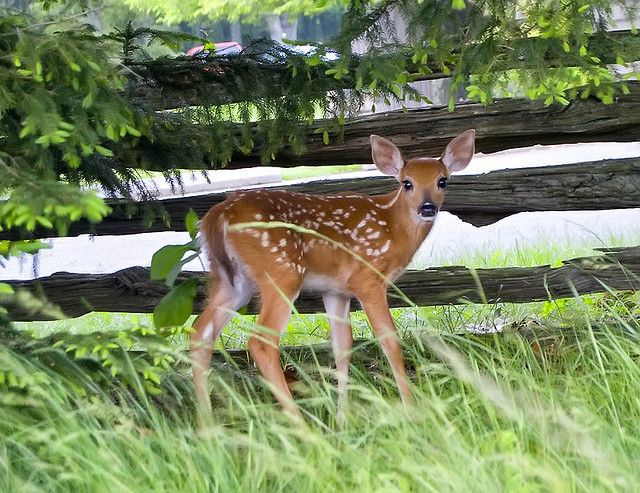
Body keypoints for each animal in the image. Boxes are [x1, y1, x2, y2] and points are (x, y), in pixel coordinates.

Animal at [191, 129, 475, 425]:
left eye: (442, 181)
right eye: (407, 183)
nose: (427, 207)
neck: (392, 227)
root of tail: (217, 217)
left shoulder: (336, 290)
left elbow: (342, 347)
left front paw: (342, 418)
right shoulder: (368, 280)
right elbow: (390, 342)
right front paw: (411, 409)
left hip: (231, 280)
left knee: (200, 334)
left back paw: (206, 425)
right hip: (281, 272)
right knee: (261, 342)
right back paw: (301, 424)